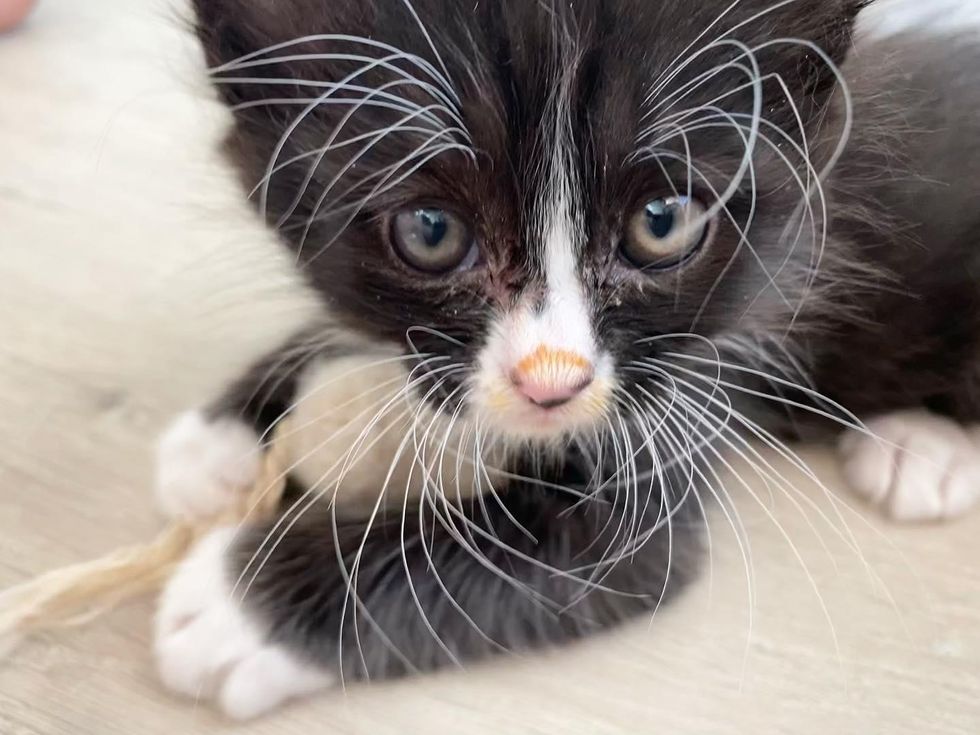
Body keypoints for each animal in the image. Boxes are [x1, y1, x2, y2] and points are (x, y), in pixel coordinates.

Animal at [151, 0, 980, 720]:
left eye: (662, 223)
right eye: (430, 230)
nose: (553, 380)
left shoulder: (696, 381)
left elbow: (564, 550)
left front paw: (233, 613)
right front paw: (223, 436)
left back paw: (925, 449)